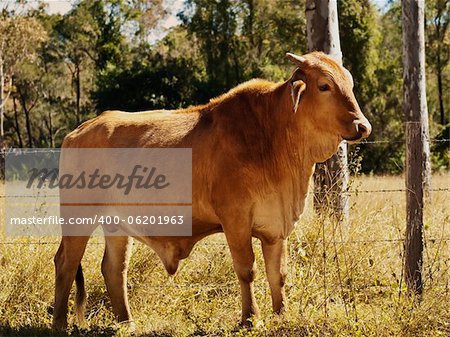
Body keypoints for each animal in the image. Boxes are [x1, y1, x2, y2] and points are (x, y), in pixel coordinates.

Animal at [52, 51, 370, 330]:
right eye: (324, 85)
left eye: (349, 84)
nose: (362, 126)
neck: (273, 135)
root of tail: (79, 131)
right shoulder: (236, 219)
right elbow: (247, 270)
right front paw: (250, 318)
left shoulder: (276, 227)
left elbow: (277, 274)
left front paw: (282, 315)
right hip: (79, 217)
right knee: (66, 263)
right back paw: (60, 323)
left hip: (116, 223)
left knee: (114, 269)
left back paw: (126, 322)